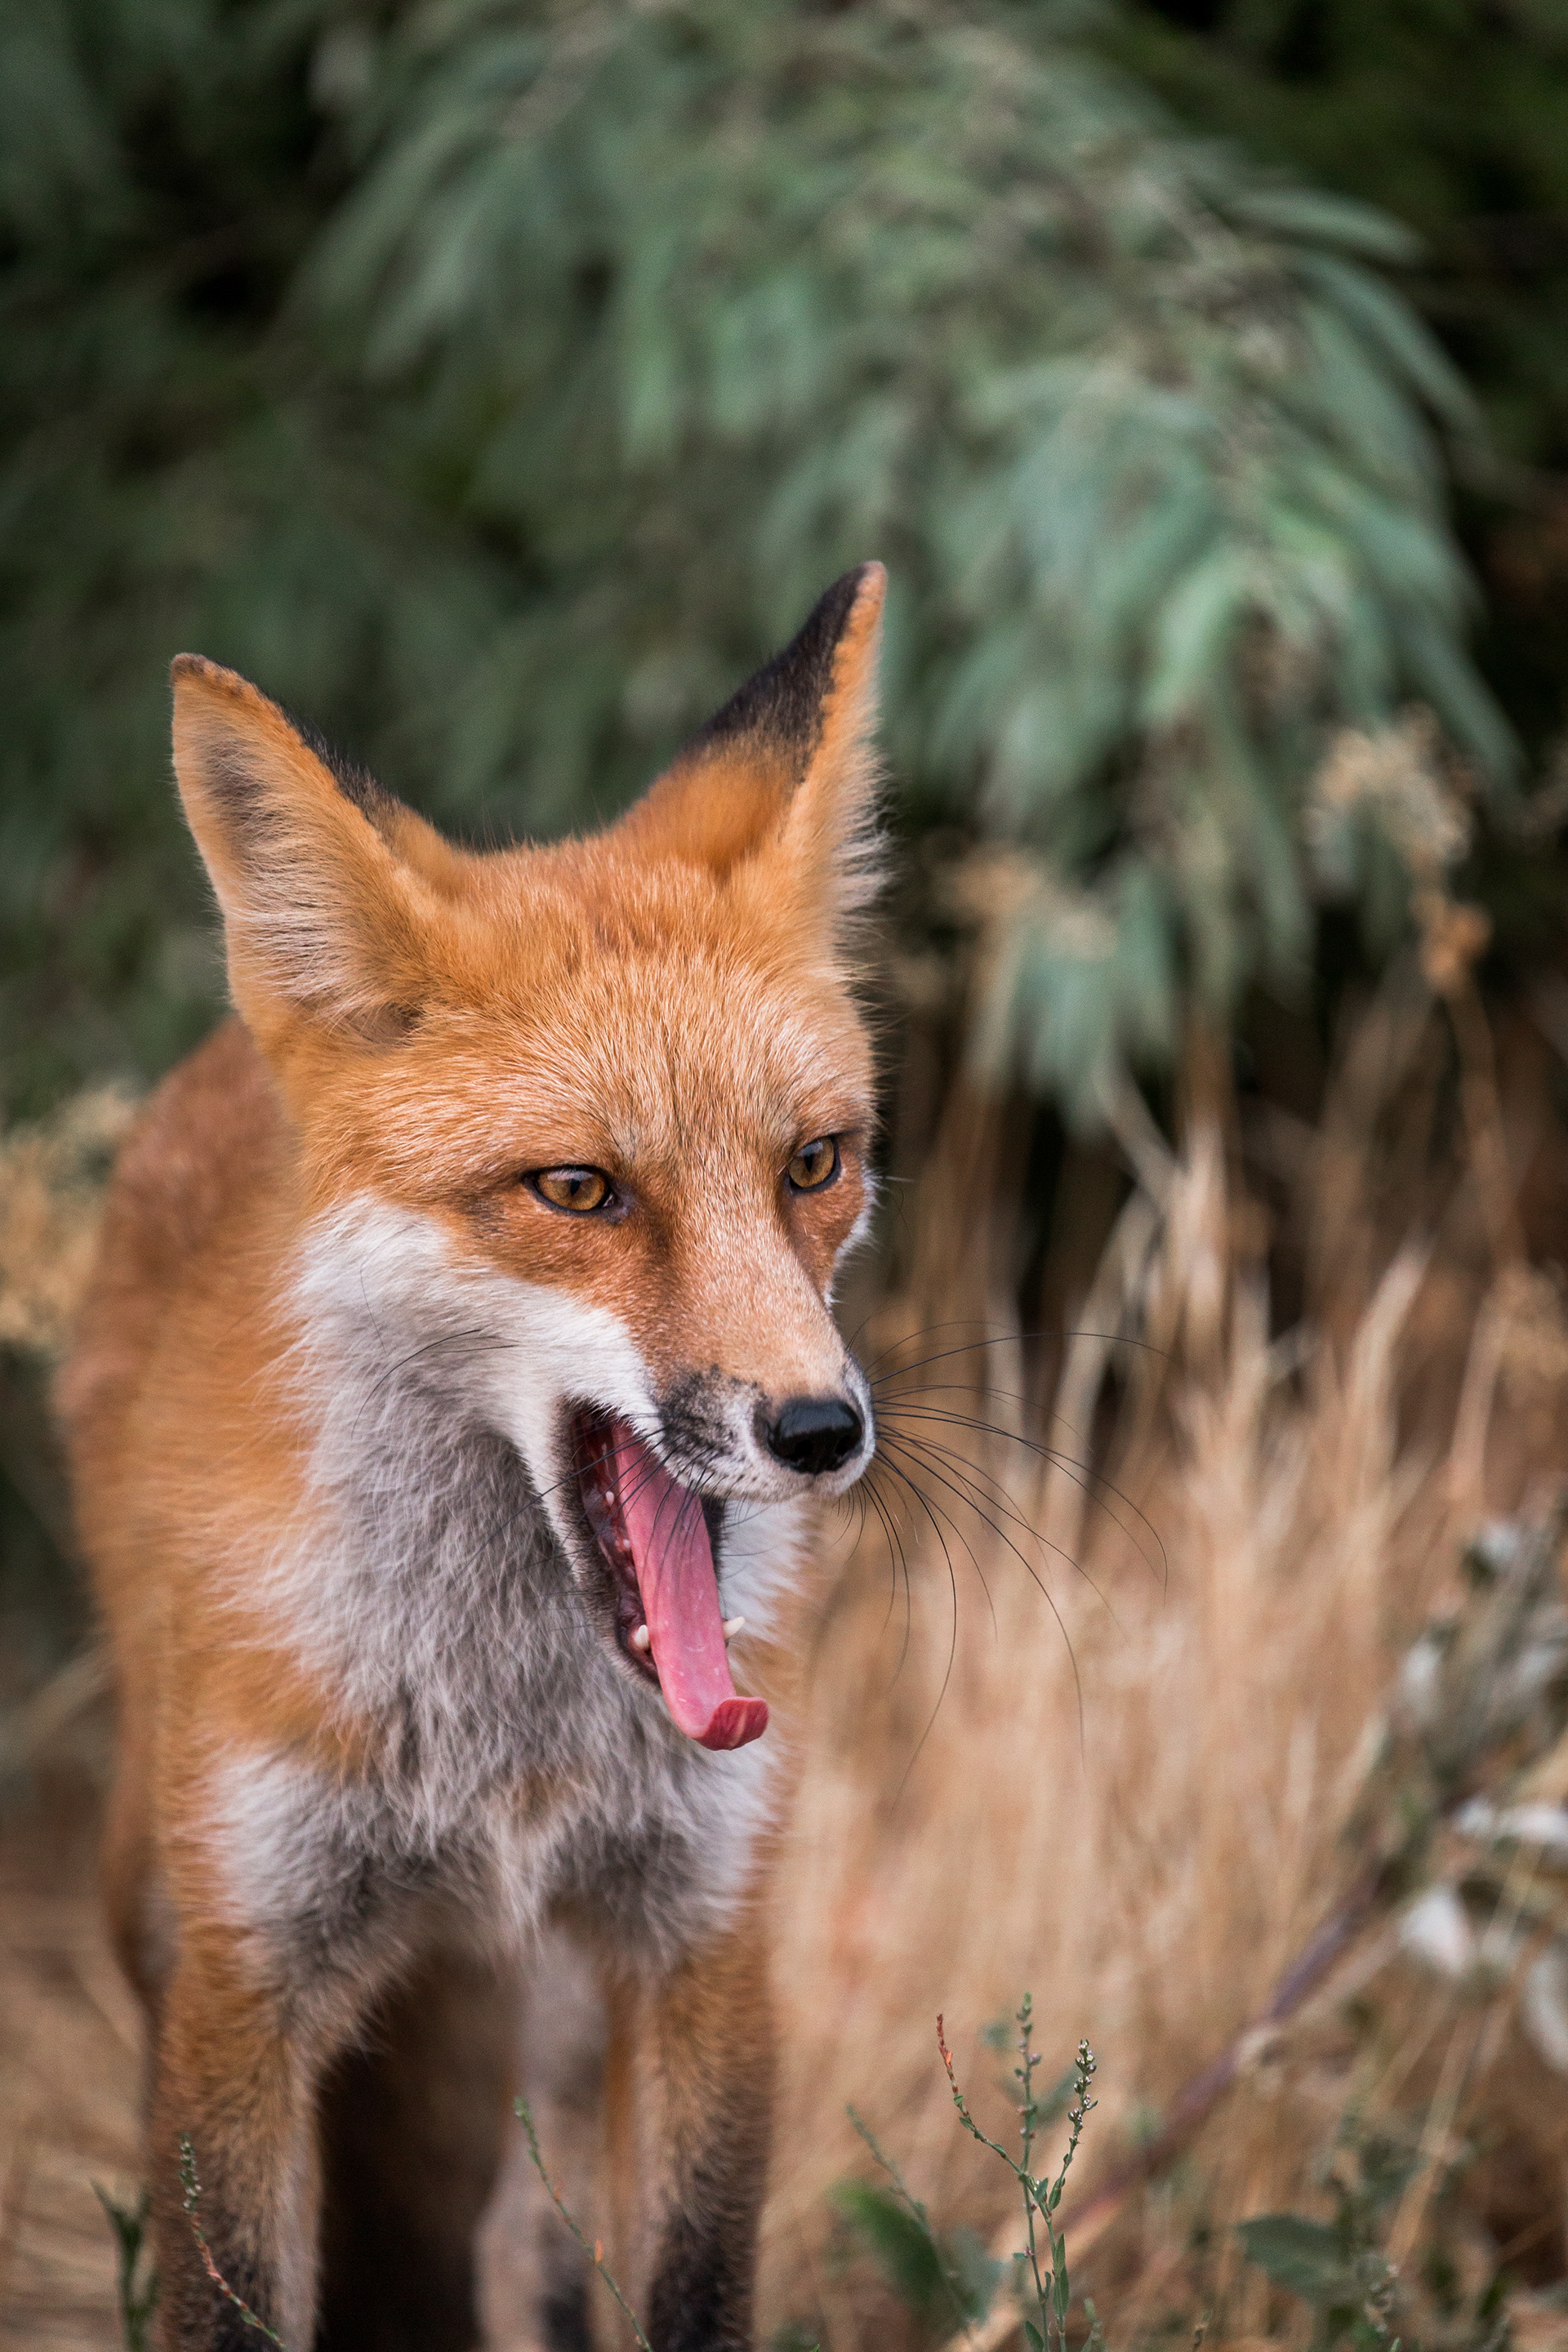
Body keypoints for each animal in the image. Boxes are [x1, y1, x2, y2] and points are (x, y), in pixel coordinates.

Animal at [57, 563, 889, 2352]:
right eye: (579, 1191)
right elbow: (234, 2298)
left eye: (815, 1164)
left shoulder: (701, 1938)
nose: (821, 1431)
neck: (504, 1748)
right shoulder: (247, 1973)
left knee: (525, 2239)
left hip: (560, 2014)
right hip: (151, 1900)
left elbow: (691, 2290)